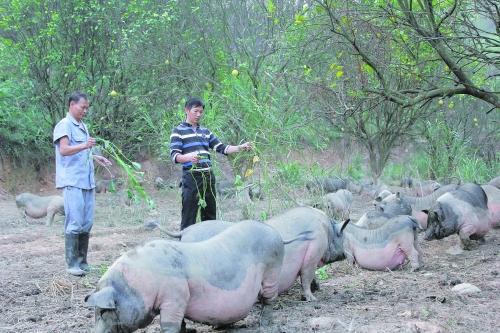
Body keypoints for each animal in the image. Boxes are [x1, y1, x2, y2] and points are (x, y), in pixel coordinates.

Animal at [87, 219, 286, 330]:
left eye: (103, 311)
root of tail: (275, 232)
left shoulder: (175, 295)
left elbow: (170, 323)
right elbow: (181, 320)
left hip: (272, 271)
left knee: (268, 300)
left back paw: (265, 326)